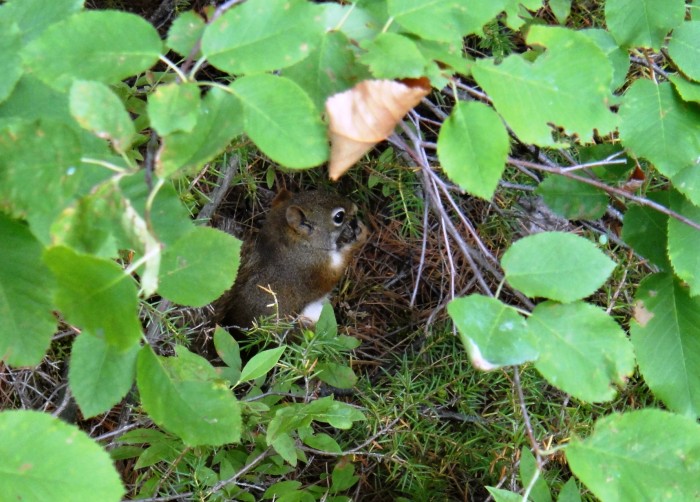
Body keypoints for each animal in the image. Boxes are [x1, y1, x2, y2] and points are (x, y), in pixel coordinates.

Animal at [215, 188, 370, 330]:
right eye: (339, 216)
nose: (355, 207)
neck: (296, 243)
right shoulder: (315, 267)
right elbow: (337, 270)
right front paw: (361, 236)